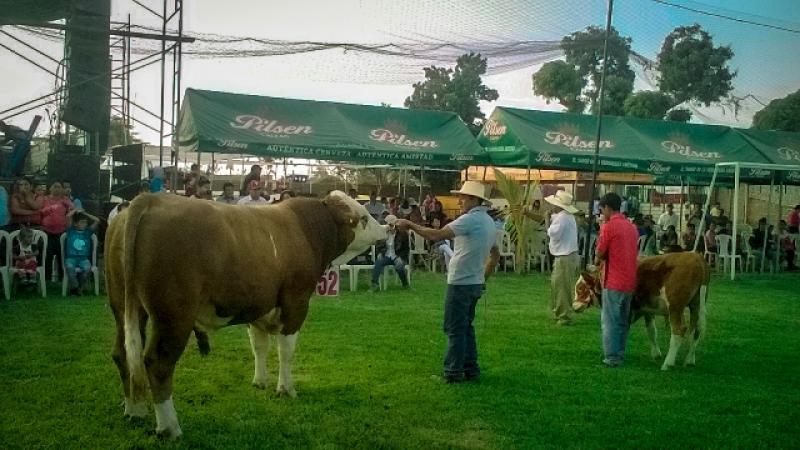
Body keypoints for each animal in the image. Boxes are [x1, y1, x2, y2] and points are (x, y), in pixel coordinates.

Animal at [105, 192, 388, 438]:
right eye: (364, 217)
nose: (386, 228)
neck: (307, 231)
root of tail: (149, 199)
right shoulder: (296, 302)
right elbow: (286, 350)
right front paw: (286, 389)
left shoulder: (257, 306)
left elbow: (259, 346)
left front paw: (260, 382)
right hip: (174, 315)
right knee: (158, 363)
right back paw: (169, 428)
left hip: (124, 307)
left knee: (123, 354)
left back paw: (134, 410)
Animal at [572, 251, 708, 370]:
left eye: (580, 288)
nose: (573, 306)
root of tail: (695, 256)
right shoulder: (648, 310)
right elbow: (651, 331)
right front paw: (656, 353)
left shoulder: (628, 310)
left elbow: (622, 329)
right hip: (697, 304)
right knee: (697, 329)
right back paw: (689, 360)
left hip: (675, 306)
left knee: (679, 329)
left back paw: (668, 364)